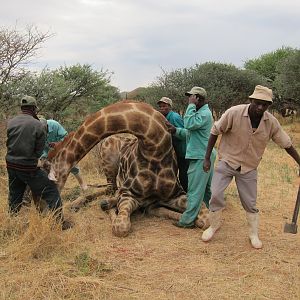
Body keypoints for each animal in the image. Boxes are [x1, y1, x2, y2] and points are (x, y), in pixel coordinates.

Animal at [48, 101, 210, 237]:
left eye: (46, 167)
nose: (48, 211)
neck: (154, 148)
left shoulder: (175, 194)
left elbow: (205, 219)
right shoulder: (128, 194)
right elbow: (120, 226)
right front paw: (109, 207)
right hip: (109, 165)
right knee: (109, 190)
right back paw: (83, 204)